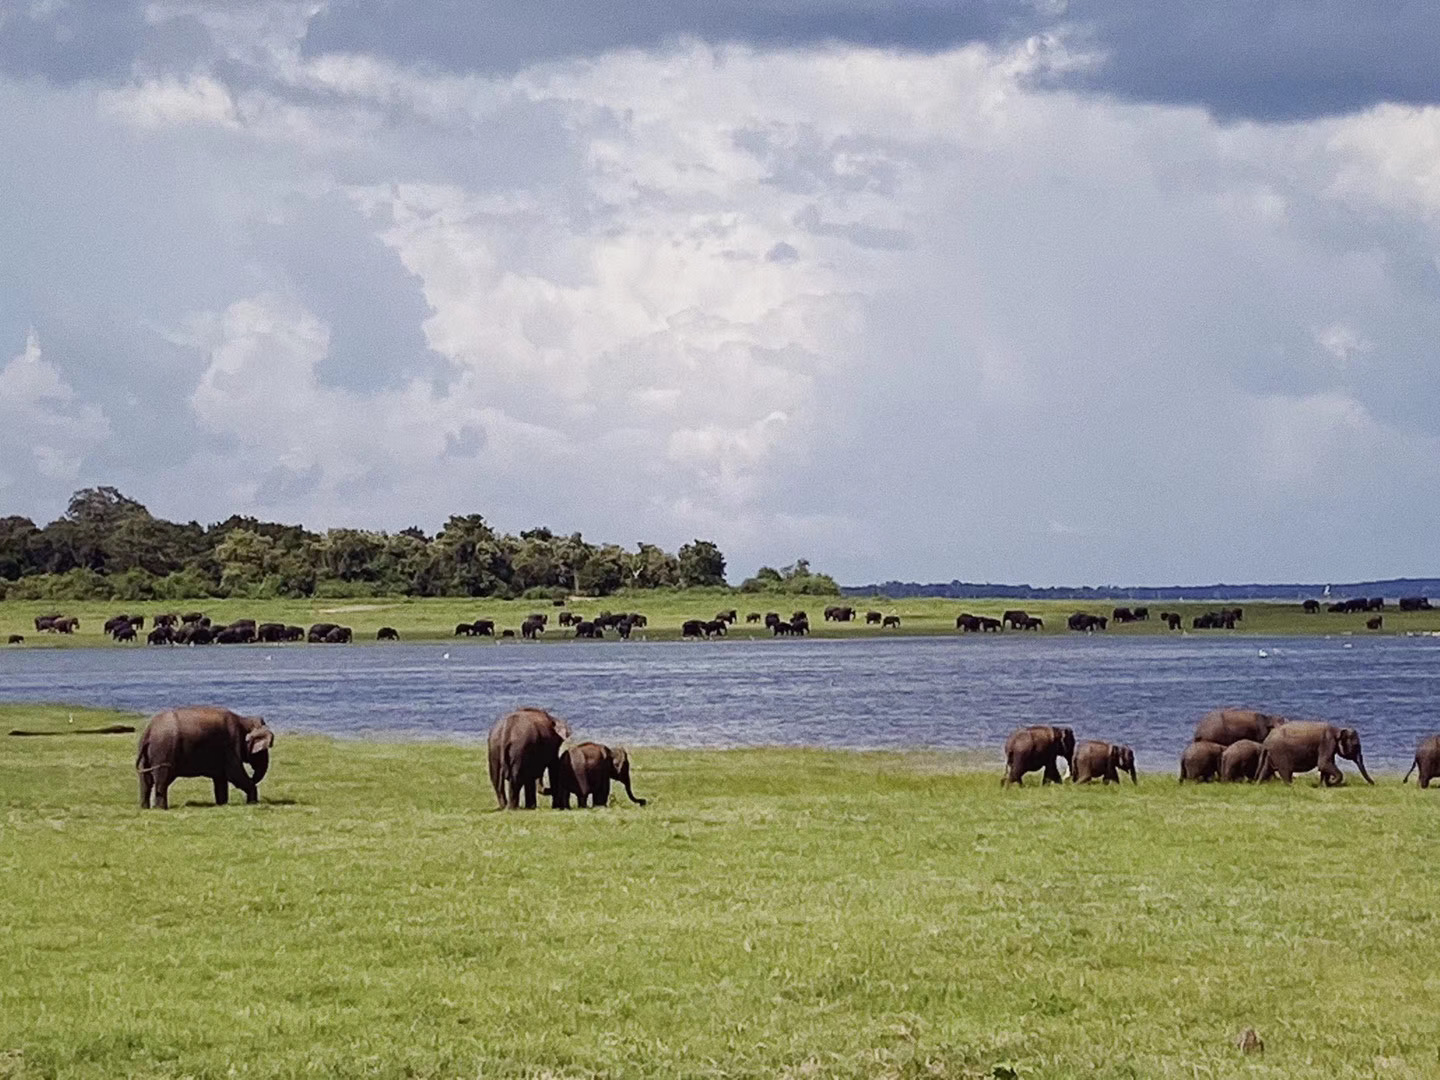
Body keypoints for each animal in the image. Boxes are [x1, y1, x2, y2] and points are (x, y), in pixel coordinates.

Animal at [135, 711, 275, 812]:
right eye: (261, 750)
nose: (253, 777)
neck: (244, 720)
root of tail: (148, 731)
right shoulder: (230, 746)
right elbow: (235, 774)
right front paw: (252, 802)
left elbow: (221, 778)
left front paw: (222, 804)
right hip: (163, 753)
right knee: (162, 780)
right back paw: (161, 809)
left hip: (147, 756)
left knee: (146, 781)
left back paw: (145, 808)